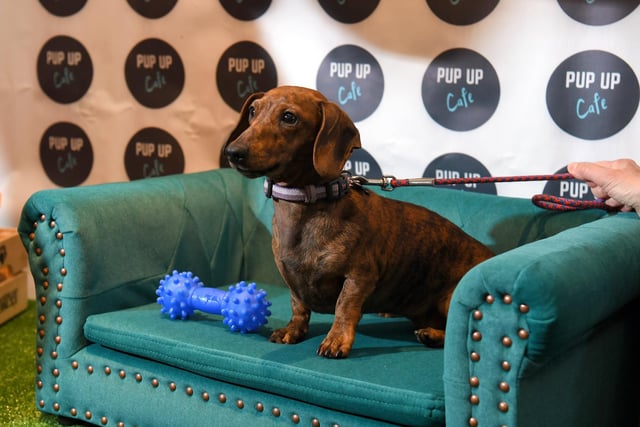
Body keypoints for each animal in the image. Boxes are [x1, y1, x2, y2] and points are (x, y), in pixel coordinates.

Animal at [222, 86, 492, 358]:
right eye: (253, 111)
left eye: (289, 117)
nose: (233, 152)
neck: (305, 205)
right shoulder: (292, 281)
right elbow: (298, 305)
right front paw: (293, 330)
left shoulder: (360, 276)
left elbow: (345, 306)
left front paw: (336, 340)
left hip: (453, 298)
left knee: (458, 334)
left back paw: (431, 334)